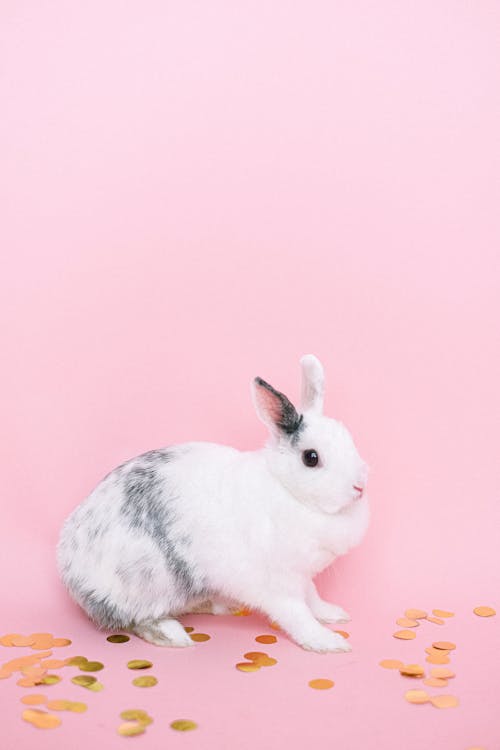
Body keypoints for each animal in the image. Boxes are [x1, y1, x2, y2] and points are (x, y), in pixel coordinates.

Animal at [56, 356, 370, 656]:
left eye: (349, 439)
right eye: (311, 457)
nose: (359, 487)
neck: (286, 489)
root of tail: (70, 570)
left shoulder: (303, 576)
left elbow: (313, 597)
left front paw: (334, 614)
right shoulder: (278, 585)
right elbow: (298, 615)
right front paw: (327, 642)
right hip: (149, 584)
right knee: (135, 620)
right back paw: (173, 635)